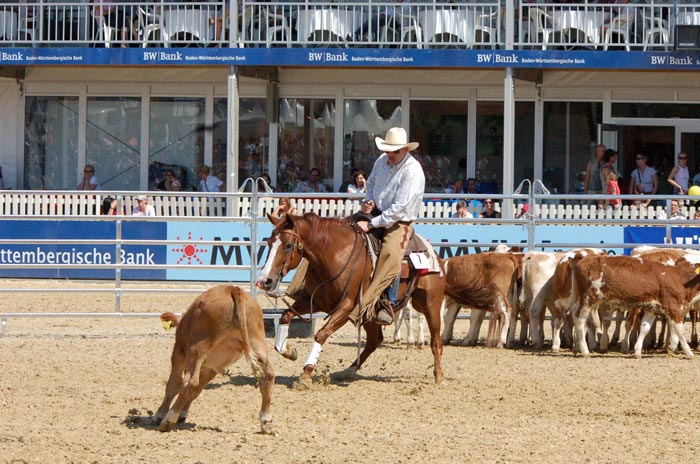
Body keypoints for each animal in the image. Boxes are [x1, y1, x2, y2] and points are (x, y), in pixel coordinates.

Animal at [155, 285, 275, 434]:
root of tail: (233, 289)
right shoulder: (211, 368)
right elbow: (197, 391)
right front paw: (182, 414)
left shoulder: (180, 353)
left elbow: (173, 385)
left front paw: (160, 414)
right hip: (257, 343)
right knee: (268, 375)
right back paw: (266, 421)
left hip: (197, 349)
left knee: (190, 382)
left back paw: (168, 420)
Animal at [257, 212, 446, 385]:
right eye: (269, 242)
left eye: (288, 245)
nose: (265, 281)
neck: (333, 255)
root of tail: (432, 253)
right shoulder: (314, 300)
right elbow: (285, 316)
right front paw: (288, 351)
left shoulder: (346, 307)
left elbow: (321, 334)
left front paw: (306, 373)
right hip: (371, 313)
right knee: (374, 340)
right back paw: (348, 370)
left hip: (431, 304)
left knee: (435, 341)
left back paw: (439, 377)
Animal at [572, 254, 700, 358]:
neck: (682, 280)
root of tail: (583, 260)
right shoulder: (673, 308)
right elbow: (680, 330)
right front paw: (689, 353)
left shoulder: (653, 309)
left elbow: (645, 327)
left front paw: (637, 351)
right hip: (588, 298)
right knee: (580, 320)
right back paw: (585, 351)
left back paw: (577, 347)